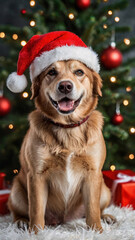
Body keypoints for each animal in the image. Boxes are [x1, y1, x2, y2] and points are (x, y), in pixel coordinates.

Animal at [7, 59, 115, 233]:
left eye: (79, 72)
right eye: (51, 72)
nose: (65, 86)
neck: (68, 128)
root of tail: (64, 220)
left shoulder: (93, 173)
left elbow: (93, 209)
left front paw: (96, 231)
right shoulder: (37, 175)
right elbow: (36, 209)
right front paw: (36, 232)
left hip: (105, 190)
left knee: (97, 209)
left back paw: (106, 217)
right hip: (16, 192)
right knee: (18, 212)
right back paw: (22, 222)